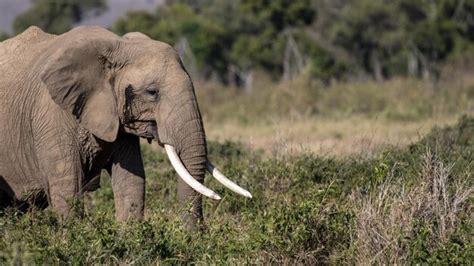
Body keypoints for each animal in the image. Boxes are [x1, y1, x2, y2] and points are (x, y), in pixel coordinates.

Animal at [0, 26, 252, 227]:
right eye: (152, 92)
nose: (197, 234)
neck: (117, 45)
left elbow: (132, 181)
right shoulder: (51, 115)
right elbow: (67, 187)